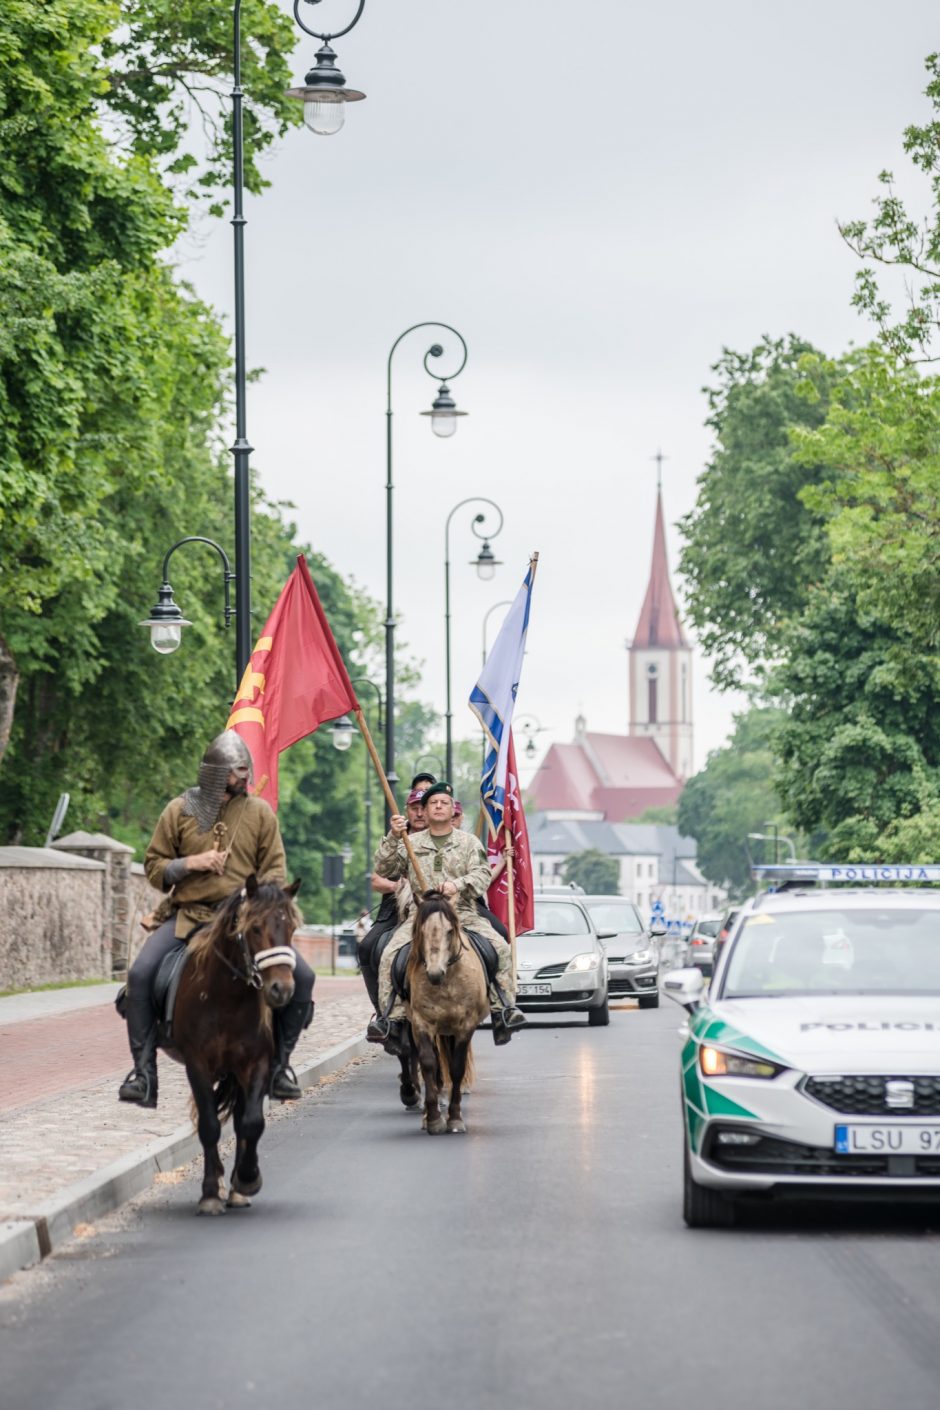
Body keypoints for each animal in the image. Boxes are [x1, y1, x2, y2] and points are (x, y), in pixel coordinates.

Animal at [165, 868, 301, 1212]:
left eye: (291, 928)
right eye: (254, 927)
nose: (282, 989)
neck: (228, 997)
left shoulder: (257, 1063)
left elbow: (251, 1121)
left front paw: (247, 1178)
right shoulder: (197, 1064)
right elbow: (209, 1124)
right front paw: (210, 1192)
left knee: (240, 1119)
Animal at [405, 891, 490, 1133]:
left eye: (450, 930)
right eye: (421, 930)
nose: (435, 973)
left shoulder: (465, 1026)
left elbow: (457, 1067)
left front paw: (455, 1118)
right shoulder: (421, 1024)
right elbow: (428, 1064)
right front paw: (433, 1118)